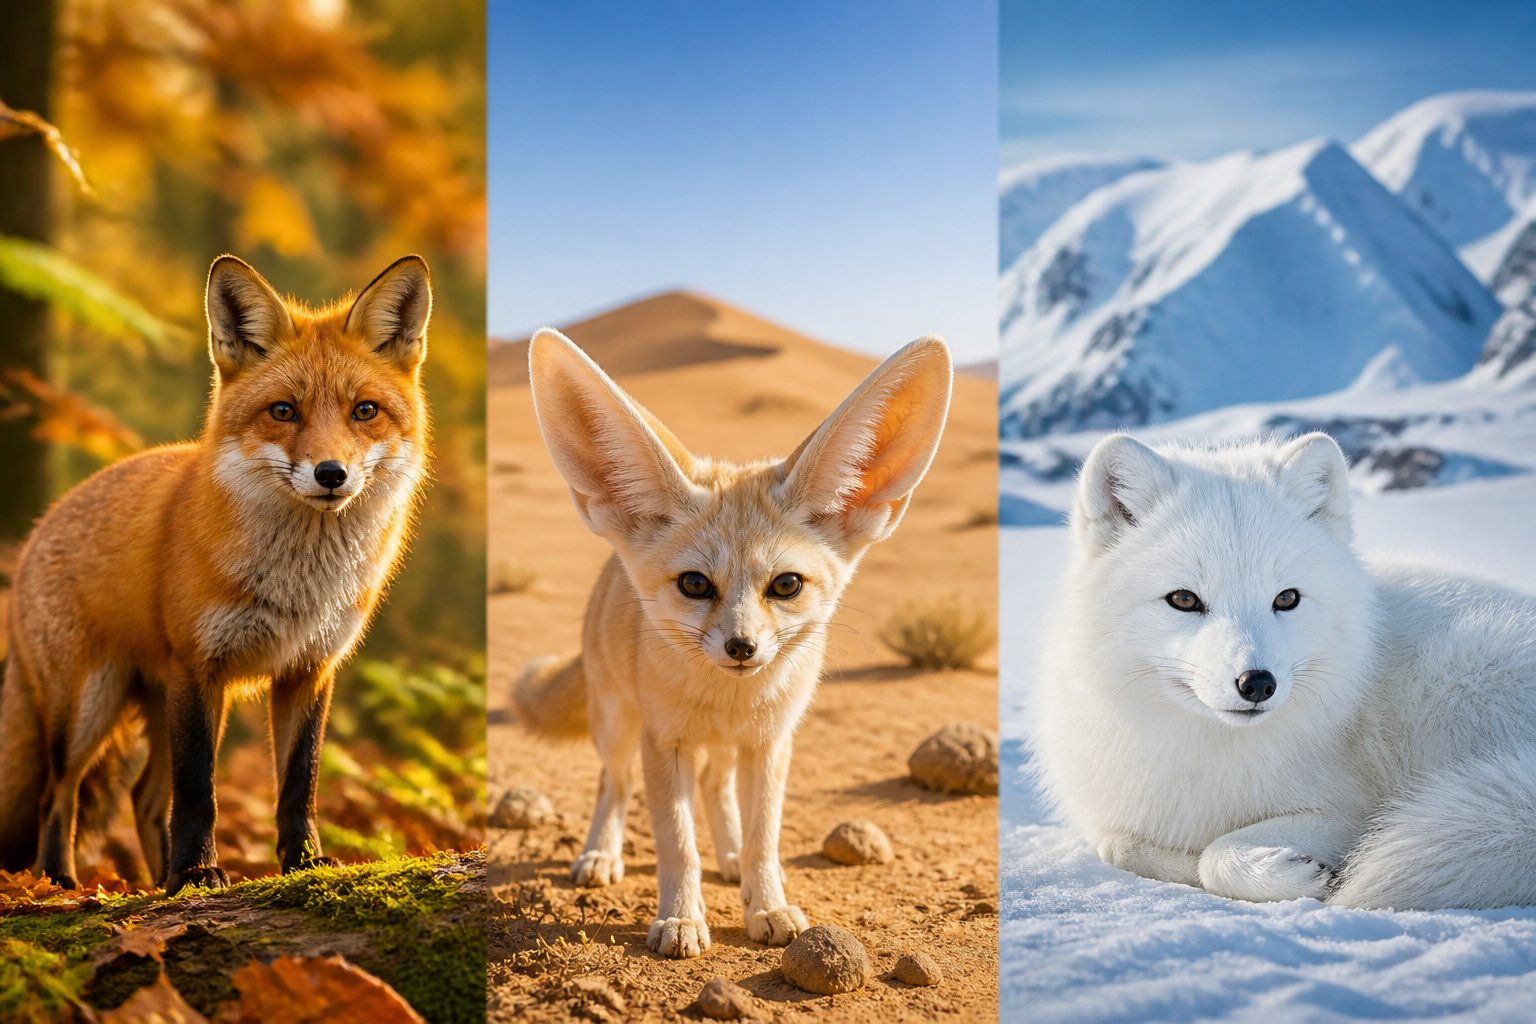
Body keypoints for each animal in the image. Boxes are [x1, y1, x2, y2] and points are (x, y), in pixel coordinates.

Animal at [0, 254, 432, 896]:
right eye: (284, 411)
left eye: (365, 411)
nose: (331, 473)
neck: (299, 584)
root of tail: (39, 525)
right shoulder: (198, 667)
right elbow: (199, 791)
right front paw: (198, 872)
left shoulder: (308, 669)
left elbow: (298, 785)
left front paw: (302, 863)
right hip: (86, 706)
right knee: (61, 794)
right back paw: (60, 882)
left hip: (149, 705)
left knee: (143, 798)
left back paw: (157, 883)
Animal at [514, 329, 952, 958]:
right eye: (696, 584)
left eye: (786, 585)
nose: (741, 647)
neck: (728, 701)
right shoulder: (663, 743)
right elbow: (676, 842)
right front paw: (678, 919)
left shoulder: (769, 743)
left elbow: (762, 839)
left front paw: (765, 905)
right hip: (617, 725)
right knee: (613, 782)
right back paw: (601, 853)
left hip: (721, 749)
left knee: (715, 786)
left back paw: (727, 858)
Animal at [1032, 431, 1536, 910]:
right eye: (1184, 599)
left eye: (1287, 598)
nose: (1257, 684)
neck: (1211, 752)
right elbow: (1118, 846)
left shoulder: (1351, 809)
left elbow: (1216, 853)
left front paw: (1298, 874)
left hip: (1457, 679)